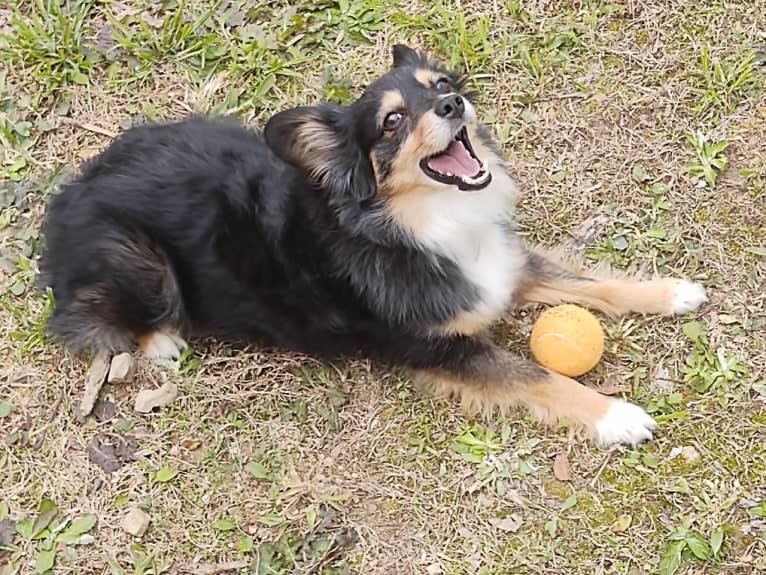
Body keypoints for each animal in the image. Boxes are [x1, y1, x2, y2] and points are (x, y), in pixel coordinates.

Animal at [36, 46, 708, 450]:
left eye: (441, 85)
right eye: (392, 121)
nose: (454, 104)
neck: (416, 220)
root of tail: (68, 193)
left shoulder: (503, 268)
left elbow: (586, 281)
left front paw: (670, 292)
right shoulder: (439, 348)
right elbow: (538, 375)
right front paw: (616, 415)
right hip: (136, 256)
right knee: (90, 314)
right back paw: (163, 342)